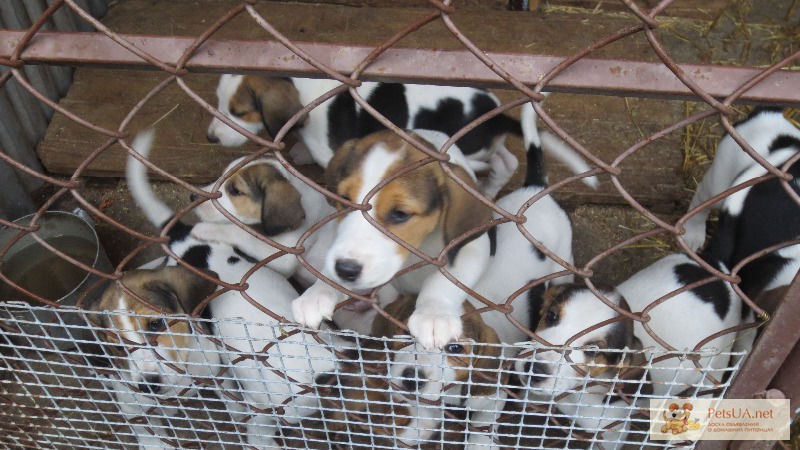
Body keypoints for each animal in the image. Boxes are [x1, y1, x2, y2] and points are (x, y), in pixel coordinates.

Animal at [88, 268, 231, 450]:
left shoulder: (217, 375)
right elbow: (151, 440)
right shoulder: (133, 410)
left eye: (156, 324)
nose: (147, 386)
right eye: (119, 347)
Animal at [206, 74, 600, 198]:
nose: (210, 139)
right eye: (219, 102)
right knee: (508, 160)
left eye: (238, 112)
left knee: (497, 161)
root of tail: (494, 114)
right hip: (485, 147)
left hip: (463, 146)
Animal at [292, 128, 494, 350]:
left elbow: (443, 280)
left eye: (400, 214)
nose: (345, 270)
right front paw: (320, 291)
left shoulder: (472, 248)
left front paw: (434, 314)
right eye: (345, 199)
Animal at [370, 294, 506, 448]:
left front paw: (480, 444)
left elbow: (485, 420)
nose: (411, 379)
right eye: (407, 333)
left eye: (455, 348)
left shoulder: (495, 395)